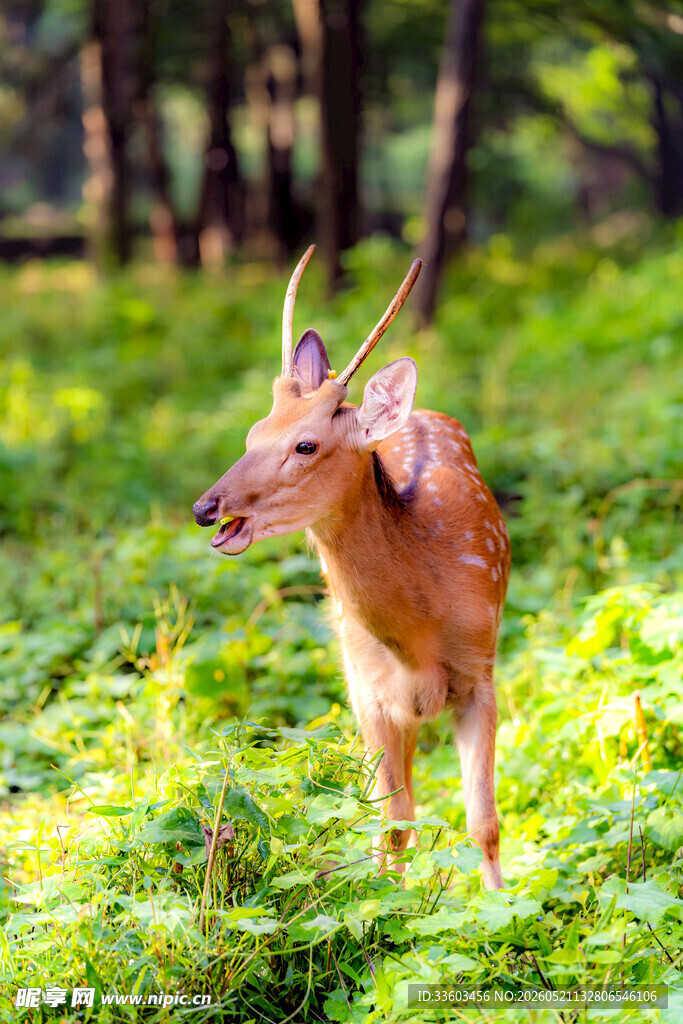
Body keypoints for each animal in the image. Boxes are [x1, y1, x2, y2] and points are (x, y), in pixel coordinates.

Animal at [192, 246, 510, 889]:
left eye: (306, 445)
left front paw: (505, 908)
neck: (419, 629)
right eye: (252, 433)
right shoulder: (370, 693)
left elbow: (483, 824)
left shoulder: (480, 673)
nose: (207, 508)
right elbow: (391, 826)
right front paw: (388, 909)